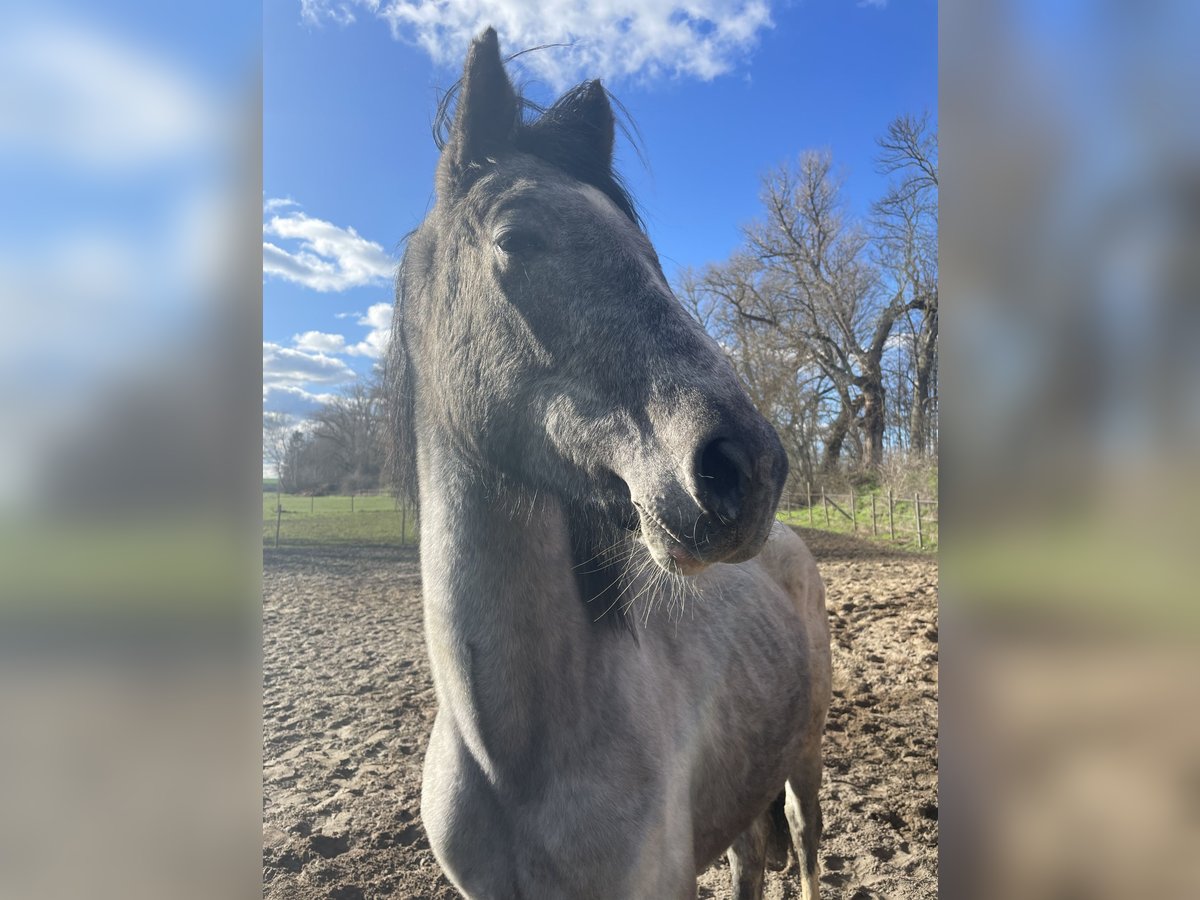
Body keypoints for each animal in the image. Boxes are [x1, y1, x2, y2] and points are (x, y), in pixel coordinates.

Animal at [388, 28, 830, 900]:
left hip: (805, 762)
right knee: (751, 858)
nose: (749, 467)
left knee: (802, 843)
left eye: (649, 256)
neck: (513, 757)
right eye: (516, 238)